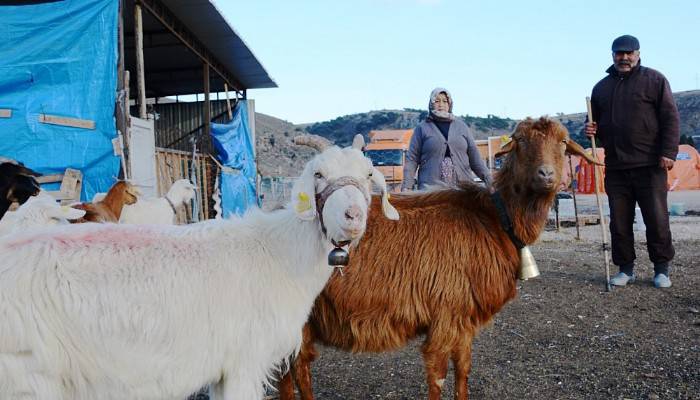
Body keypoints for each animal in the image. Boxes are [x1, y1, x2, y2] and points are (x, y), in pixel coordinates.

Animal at [0, 138, 400, 400]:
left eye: (368, 175)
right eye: (318, 173)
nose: (352, 216)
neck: (278, 253)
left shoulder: (222, 369)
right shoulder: (244, 361)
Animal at [278, 117, 600, 398]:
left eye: (563, 142)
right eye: (520, 141)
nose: (546, 175)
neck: (494, 218)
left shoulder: (463, 318)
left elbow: (463, 370)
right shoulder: (445, 313)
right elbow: (438, 376)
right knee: (297, 370)